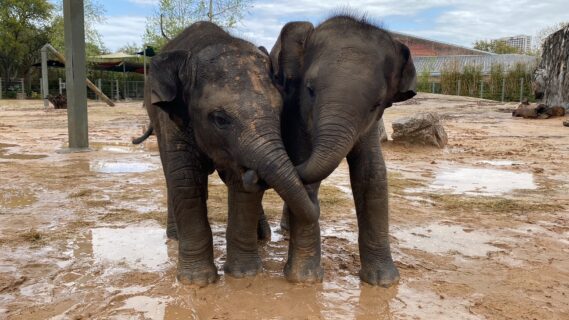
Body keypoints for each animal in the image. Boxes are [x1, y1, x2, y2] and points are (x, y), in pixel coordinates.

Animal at [144, 23, 318, 288]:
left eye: (281, 111)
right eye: (220, 119)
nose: (254, 173)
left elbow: (241, 188)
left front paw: (244, 275)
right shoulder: (172, 121)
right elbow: (185, 181)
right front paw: (196, 281)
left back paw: (262, 236)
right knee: (171, 178)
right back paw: (174, 237)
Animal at [266, 13, 418, 286]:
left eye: (377, 104)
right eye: (310, 90)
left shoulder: (371, 125)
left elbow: (371, 173)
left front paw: (383, 282)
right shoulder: (294, 106)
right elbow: (303, 162)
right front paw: (304, 280)